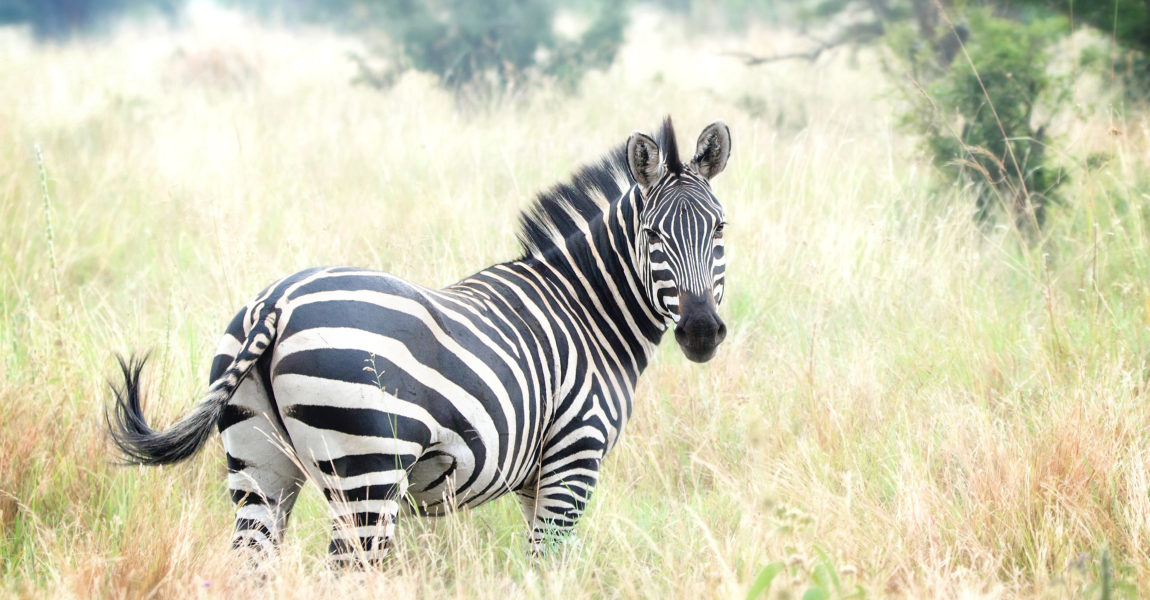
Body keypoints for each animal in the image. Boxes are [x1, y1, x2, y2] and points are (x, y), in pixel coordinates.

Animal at [109, 114, 736, 563]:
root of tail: (277, 304)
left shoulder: (534, 479)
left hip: (257, 465)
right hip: (367, 470)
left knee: (251, 561)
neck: (586, 312)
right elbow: (549, 565)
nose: (701, 331)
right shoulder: (572, 459)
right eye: (652, 235)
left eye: (720, 228)